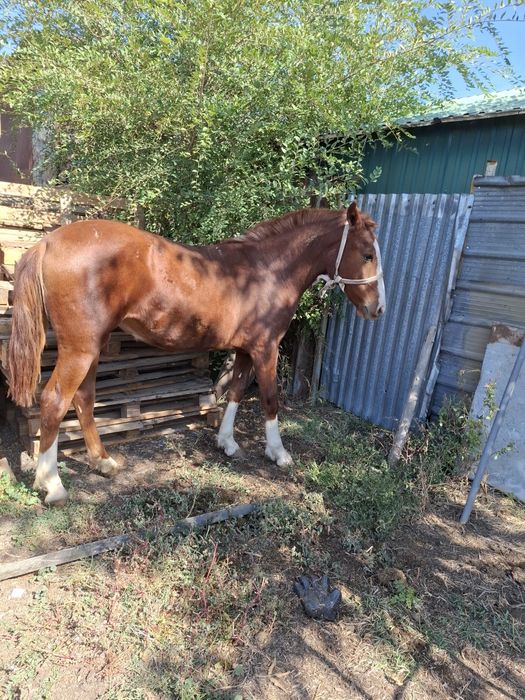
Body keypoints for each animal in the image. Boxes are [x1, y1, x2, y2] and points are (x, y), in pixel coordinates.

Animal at [7, 202, 385, 506]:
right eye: (367, 254)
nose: (378, 309)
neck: (267, 270)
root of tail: (48, 242)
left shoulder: (245, 349)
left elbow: (235, 392)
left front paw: (227, 443)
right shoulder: (266, 349)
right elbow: (270, 399)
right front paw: (278, 453)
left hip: (91, 347)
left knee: (84, 398)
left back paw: (102, 462)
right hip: (80, 348)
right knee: (55, 400)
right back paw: (52, 484)